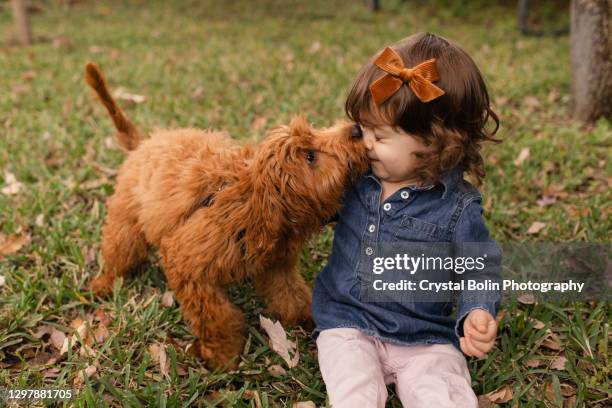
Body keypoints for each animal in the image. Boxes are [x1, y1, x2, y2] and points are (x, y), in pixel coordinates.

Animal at [83, 63, 366, 370]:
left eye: (314, 131)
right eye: (311, 157)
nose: (357, 129)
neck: (251, 200)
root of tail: (144, 143)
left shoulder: (275, 264)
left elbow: (290, 294)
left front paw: (308, 318)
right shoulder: (186, 263)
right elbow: (215, 316)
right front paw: (222, 354)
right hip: (127, 221)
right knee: (120, 252)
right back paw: (104, 283)